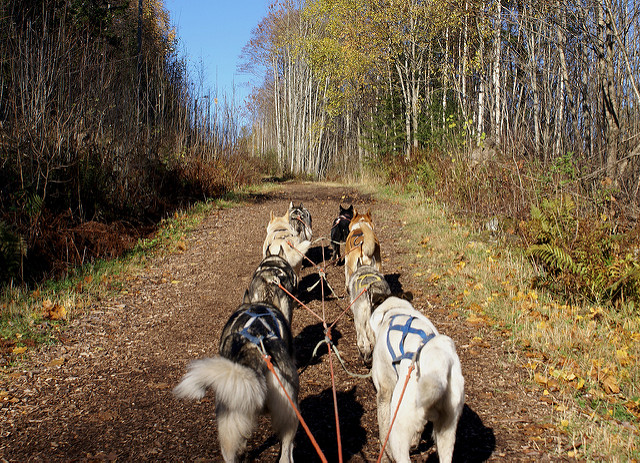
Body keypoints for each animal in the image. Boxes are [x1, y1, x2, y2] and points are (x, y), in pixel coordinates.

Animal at [368, 298, 462, 463]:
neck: (394, 311)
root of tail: (437, 363)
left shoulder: (385, 391)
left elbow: (383, 431)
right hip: (447, 431)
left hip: (399, 428)